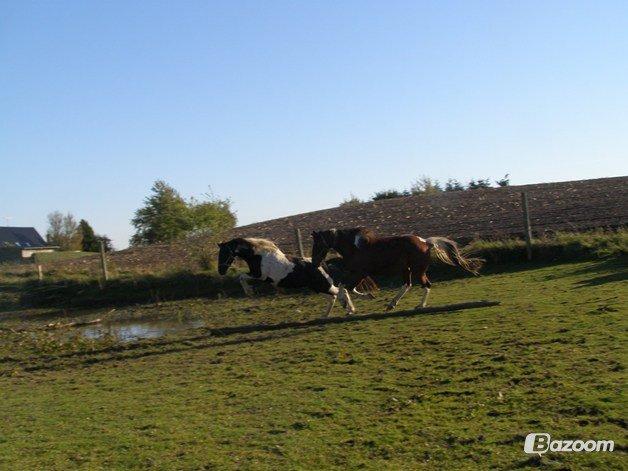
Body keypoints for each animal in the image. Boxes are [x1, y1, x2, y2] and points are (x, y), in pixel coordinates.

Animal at [217, 240, 356, 318]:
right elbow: (241, 277)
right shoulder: (259, 276)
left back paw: (349, 309)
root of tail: (322, 264)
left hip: (323, 286)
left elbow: (241, 277)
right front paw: (250, 291)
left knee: (341, 292)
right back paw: (328, 314)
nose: (220, 271)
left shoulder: (260, 276)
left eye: (224, 253)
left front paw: (249, 291)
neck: (259, 255)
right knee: (335, 295)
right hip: (318, 287)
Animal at [312, 228, 484, 312]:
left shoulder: (360, 273)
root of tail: (426, 242)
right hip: (407, 269)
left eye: (317, 243)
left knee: (425, 285)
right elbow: (345, 286)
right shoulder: (357, 273)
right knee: (408, 285)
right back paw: (392, 304)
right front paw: (350, 306)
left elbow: (346, 287)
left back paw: (419, 306)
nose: (314, 262)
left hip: (417, 270)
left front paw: (348, 305)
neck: (355, 248)